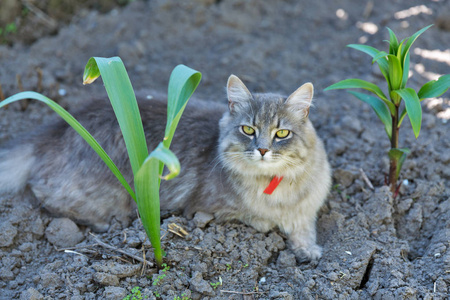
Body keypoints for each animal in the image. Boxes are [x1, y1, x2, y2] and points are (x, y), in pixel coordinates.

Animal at [0, 75, 330, 262]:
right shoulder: (209, 208)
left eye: (282, 133)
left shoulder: (307, 208)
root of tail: (54, 130)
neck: (275, 184)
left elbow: (305, 229)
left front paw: (308, 250)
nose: (262, 149)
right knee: (42, 194)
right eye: (248, 129)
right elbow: (260, 219)